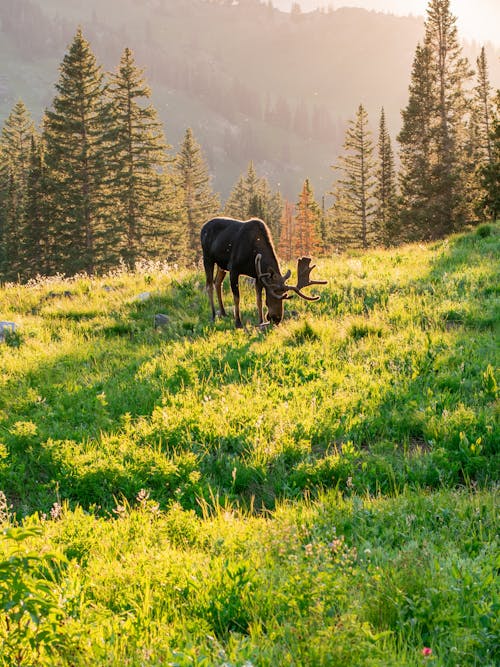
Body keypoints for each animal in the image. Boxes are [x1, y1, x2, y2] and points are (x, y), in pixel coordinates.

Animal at [200, 217, 328, 328]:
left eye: (284, 296)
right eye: (272, 296)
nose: (276, 319)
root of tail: (203, 227)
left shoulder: (258, 276)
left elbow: (259, 300)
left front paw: (261, 321)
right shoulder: (234, 269)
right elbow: (237, 298)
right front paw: (238, 322)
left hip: (221, 265)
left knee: (217, 283)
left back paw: (223, 312)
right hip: (207, 258)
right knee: (209, 285)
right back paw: (213, 315)